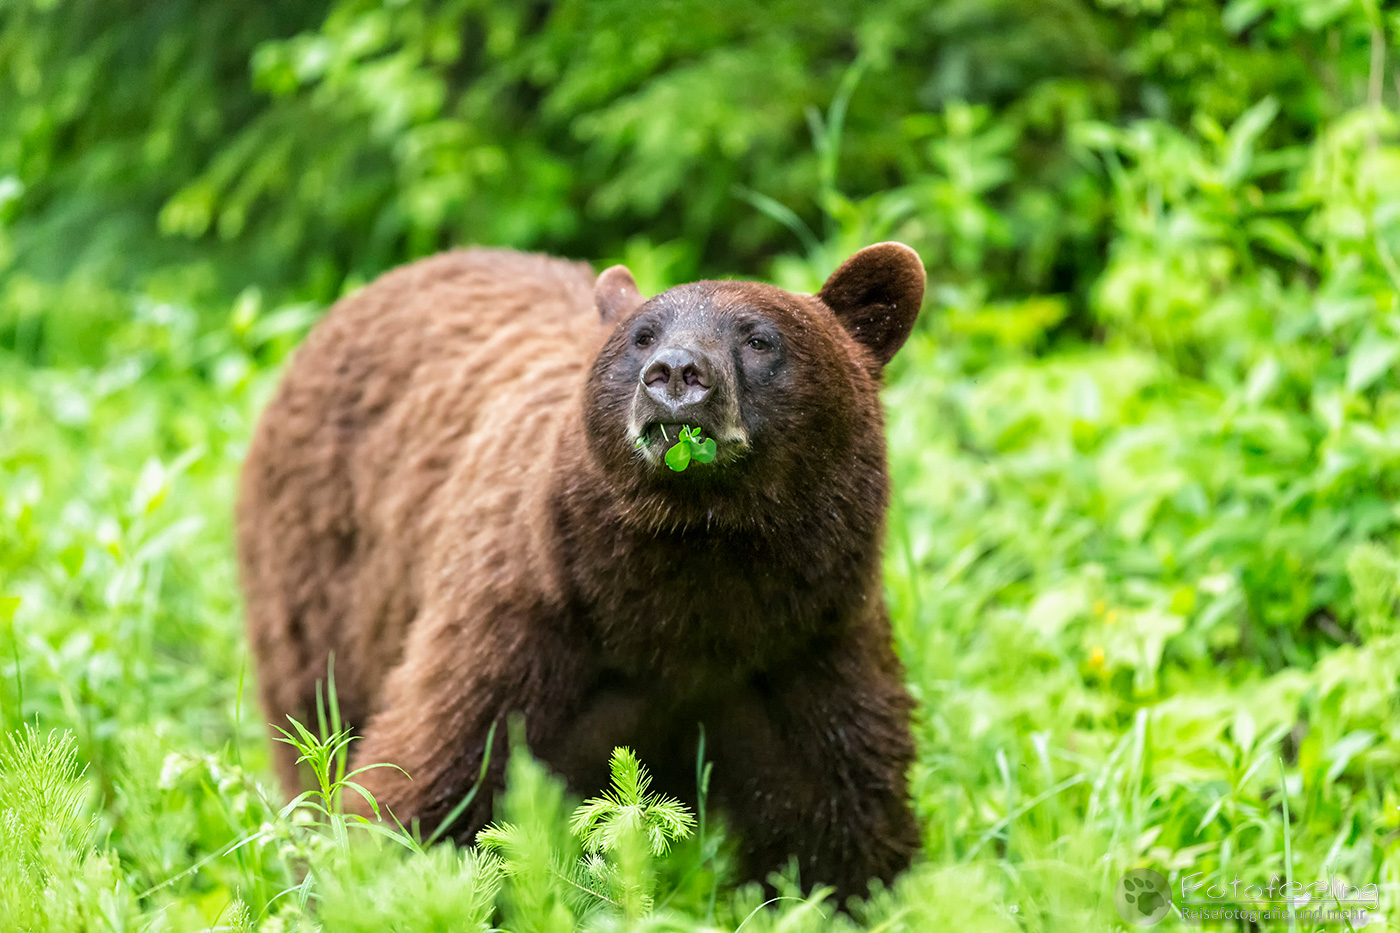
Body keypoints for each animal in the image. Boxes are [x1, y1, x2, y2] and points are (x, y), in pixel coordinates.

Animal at [236, 243, 926, 901]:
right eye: (642, 335)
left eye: (759, 339)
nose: (676, 374)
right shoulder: (525, 629)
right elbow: (430, 779)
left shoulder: (807, 646)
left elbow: (839, 811)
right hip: (321, 577)